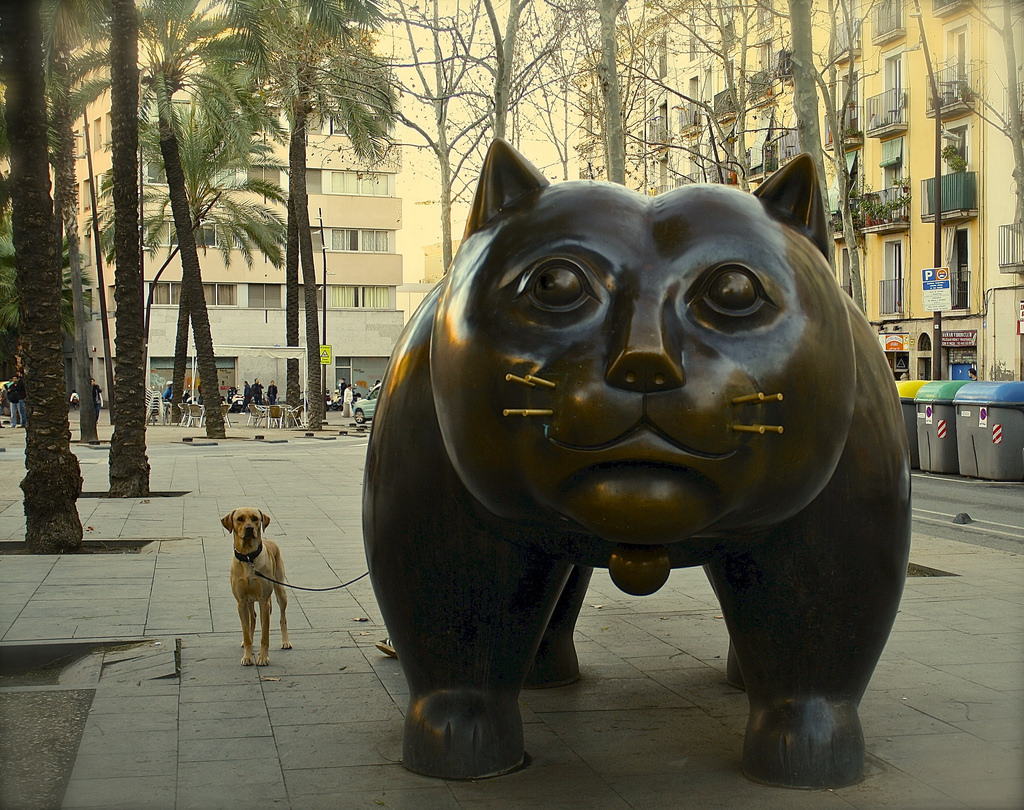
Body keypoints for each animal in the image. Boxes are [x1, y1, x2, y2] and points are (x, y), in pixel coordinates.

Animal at [222, 509, 290, 667]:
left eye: (255, 519)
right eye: (239, 519)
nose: (249, 528)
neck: (248, 558)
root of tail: (270, 541)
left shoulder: (264, 601)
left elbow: (265, 634)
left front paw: (263, 657)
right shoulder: (241, 602)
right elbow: (246, 630)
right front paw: (247, 656)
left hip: (280, 590)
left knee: (282, 617)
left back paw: (285, 641)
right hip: (249, 601)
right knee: (251, 618)